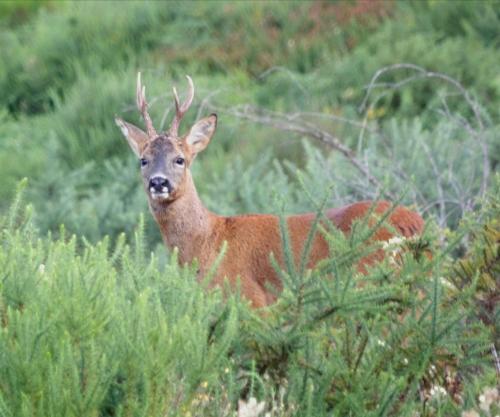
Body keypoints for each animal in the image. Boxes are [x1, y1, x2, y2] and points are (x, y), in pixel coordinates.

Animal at [115, 73, 424, 308]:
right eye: (143, 160)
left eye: (180, 159)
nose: (158, 182)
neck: (208, 243)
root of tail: (417, 225)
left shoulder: (252, 300)